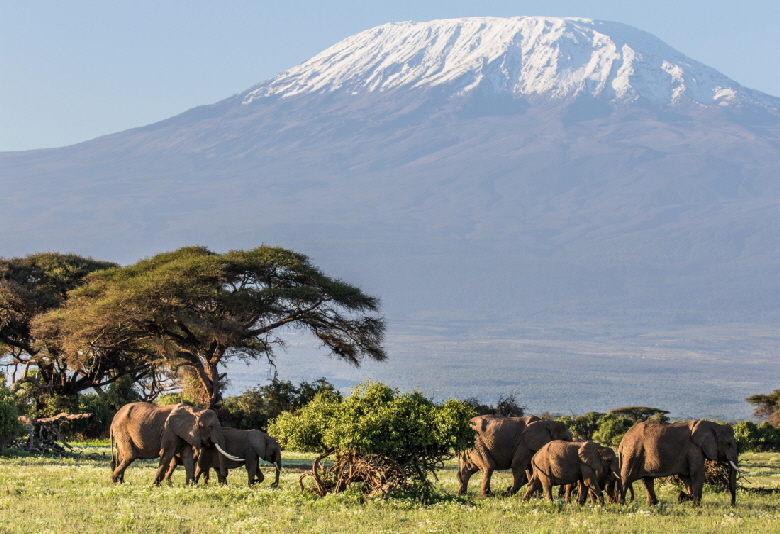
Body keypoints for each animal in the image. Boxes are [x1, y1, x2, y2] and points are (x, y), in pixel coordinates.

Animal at [108, 404, 239, 488]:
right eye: (210, 427)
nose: (223, 481)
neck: (195, 410)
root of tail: (114, 418)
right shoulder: (169, 431)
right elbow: (167, 454)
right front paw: (154, 485)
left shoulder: (185, 434)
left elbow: (187, 458)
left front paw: (190, 485)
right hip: (122, 431)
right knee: (130, 456)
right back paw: (113, 480)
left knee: (122, 456)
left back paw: (120, 482)